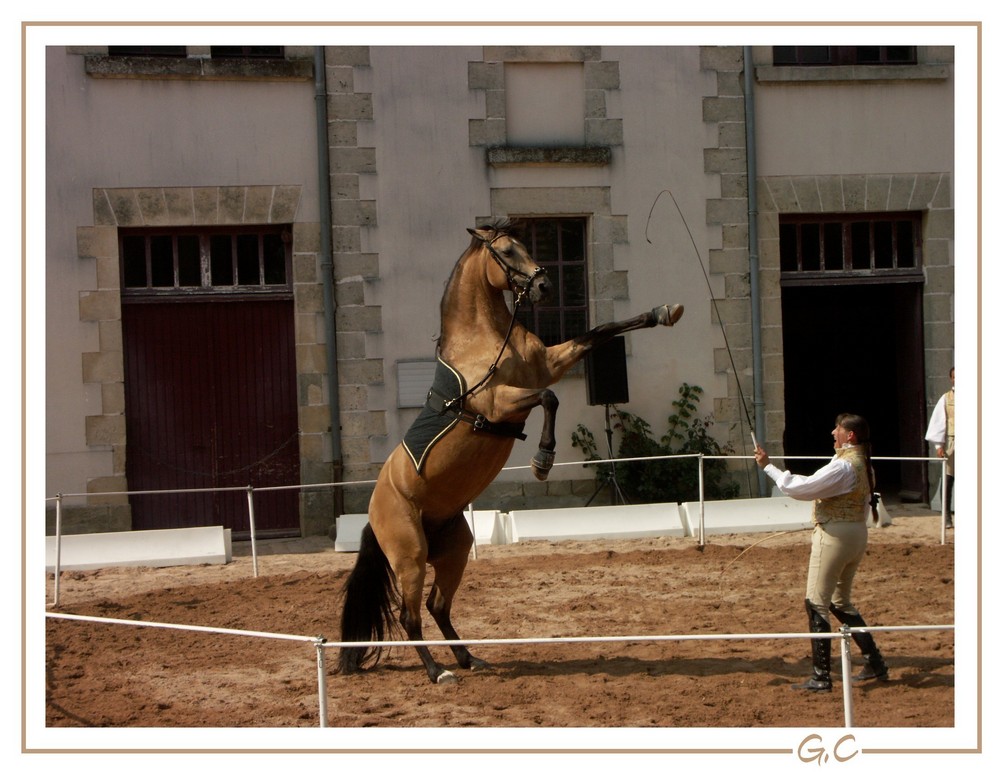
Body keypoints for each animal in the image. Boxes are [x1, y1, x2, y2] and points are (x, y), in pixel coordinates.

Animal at [340, 222, 684, 680]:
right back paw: (438, 672)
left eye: (525, 245)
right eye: (505, 251)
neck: (483, 341)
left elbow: (600, 331)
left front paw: (665, 312)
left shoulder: (550, 364)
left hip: (454, 550)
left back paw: (470, 658)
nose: (543, 284)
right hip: (410, 555)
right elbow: (550, 398)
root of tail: (374, 510)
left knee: (438, 606)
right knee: (409, 616)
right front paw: (542, 461)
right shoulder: (500, 402)